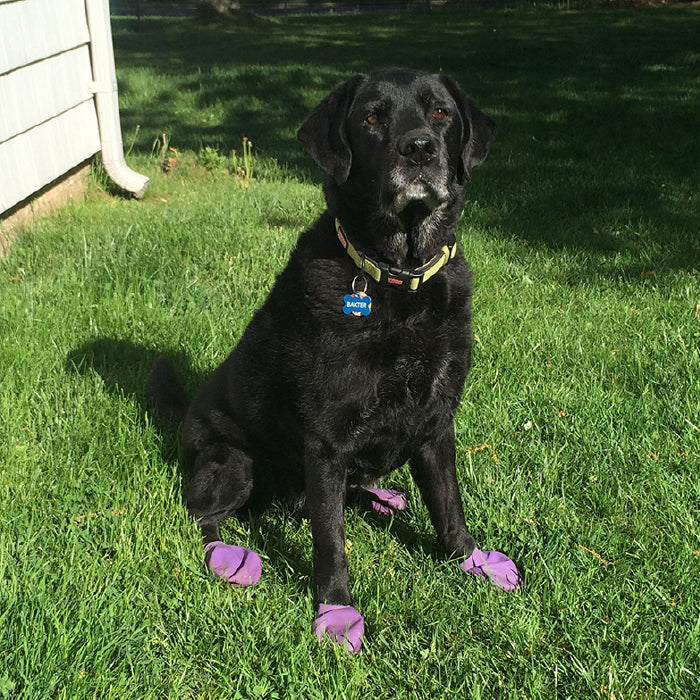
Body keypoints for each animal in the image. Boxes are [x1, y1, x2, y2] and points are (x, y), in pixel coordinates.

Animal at [148, 68, 520, 652]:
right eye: (371, 117)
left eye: (440, 113)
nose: (419, 148)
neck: (398, 278)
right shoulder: (324, 442)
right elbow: (330, 539)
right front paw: (337, 609)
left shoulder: (437, 423)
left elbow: (449, 504)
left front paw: (471, 559)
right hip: (231, 462)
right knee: (203, 516)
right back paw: (230, 556)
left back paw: (382, 497)